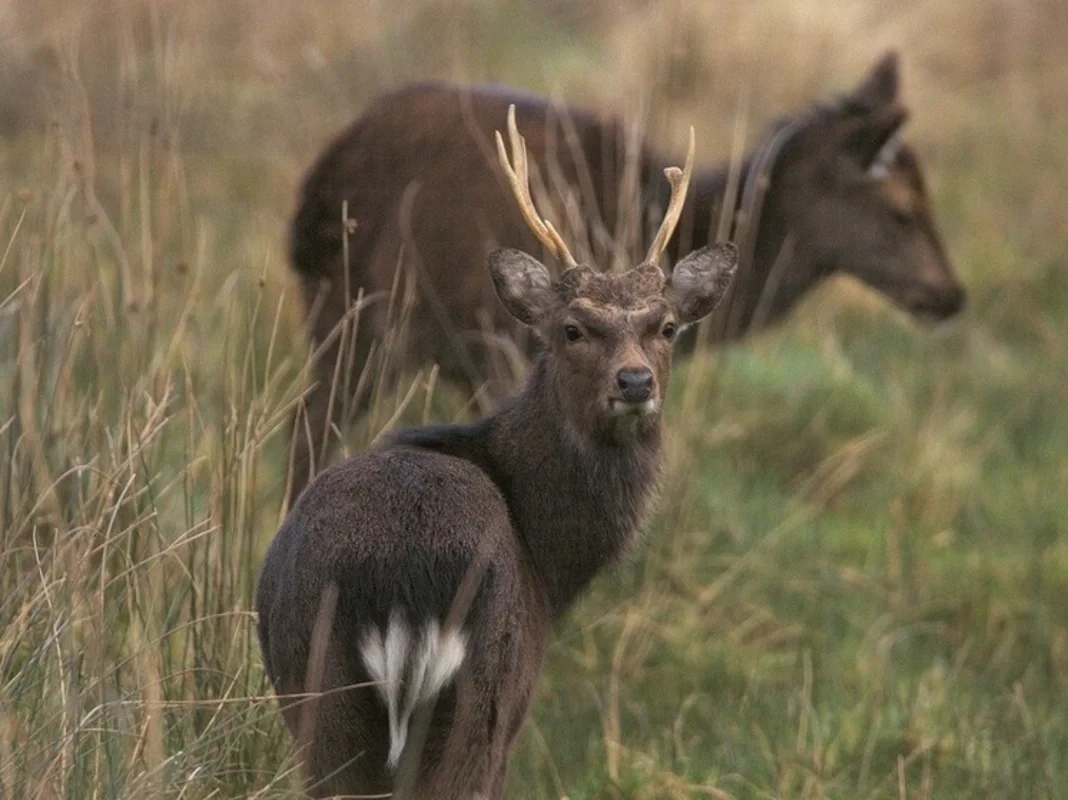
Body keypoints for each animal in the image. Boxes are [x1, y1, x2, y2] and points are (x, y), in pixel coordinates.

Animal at [256, 107, 743, 798]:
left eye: (667, 327)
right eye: (572, 329)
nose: (635, 382)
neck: (552, 565)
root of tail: (400, 584)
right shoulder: (516, 702)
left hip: (321, 702)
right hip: (481, 700)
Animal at [286, 49, 969, 502]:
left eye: (929, 198)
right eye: (902, 210)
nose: (951, 294)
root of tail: (316, 187)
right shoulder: (504, 345)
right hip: (375, 316)